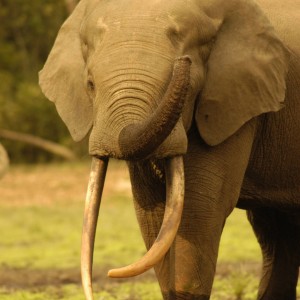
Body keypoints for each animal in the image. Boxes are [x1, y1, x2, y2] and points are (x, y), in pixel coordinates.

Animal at [38, 0, 298, 298]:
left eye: (188, 83)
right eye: (90, 84)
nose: (182, 60)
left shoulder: (234, 103)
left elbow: (199, 210)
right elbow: (152, 212)